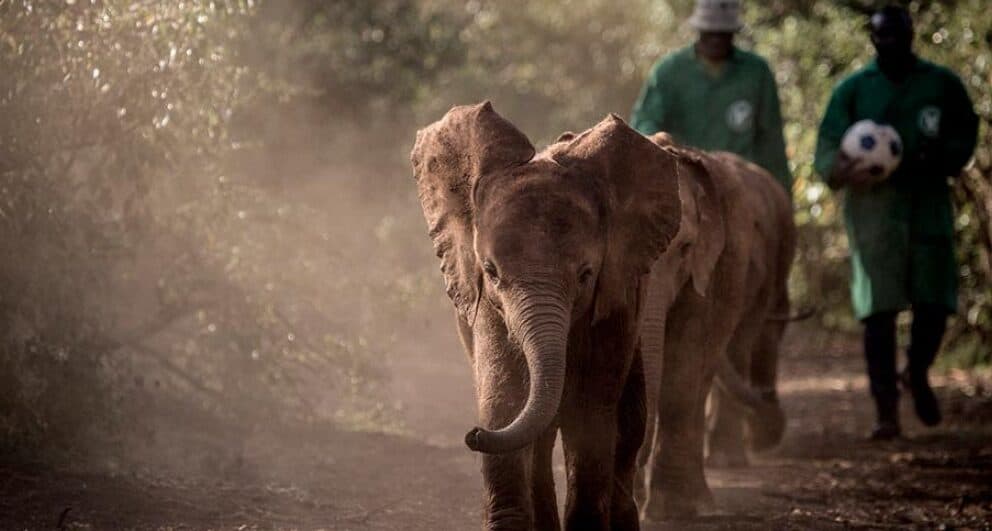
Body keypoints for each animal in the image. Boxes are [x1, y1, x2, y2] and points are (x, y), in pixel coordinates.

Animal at [411, 102, 685, 530]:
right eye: (491, 272)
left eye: (586, 275)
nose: (472, 434)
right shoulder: (488, 305)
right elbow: (504, 397)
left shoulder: (617, 300)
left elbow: (592, 414)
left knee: (629, 422)